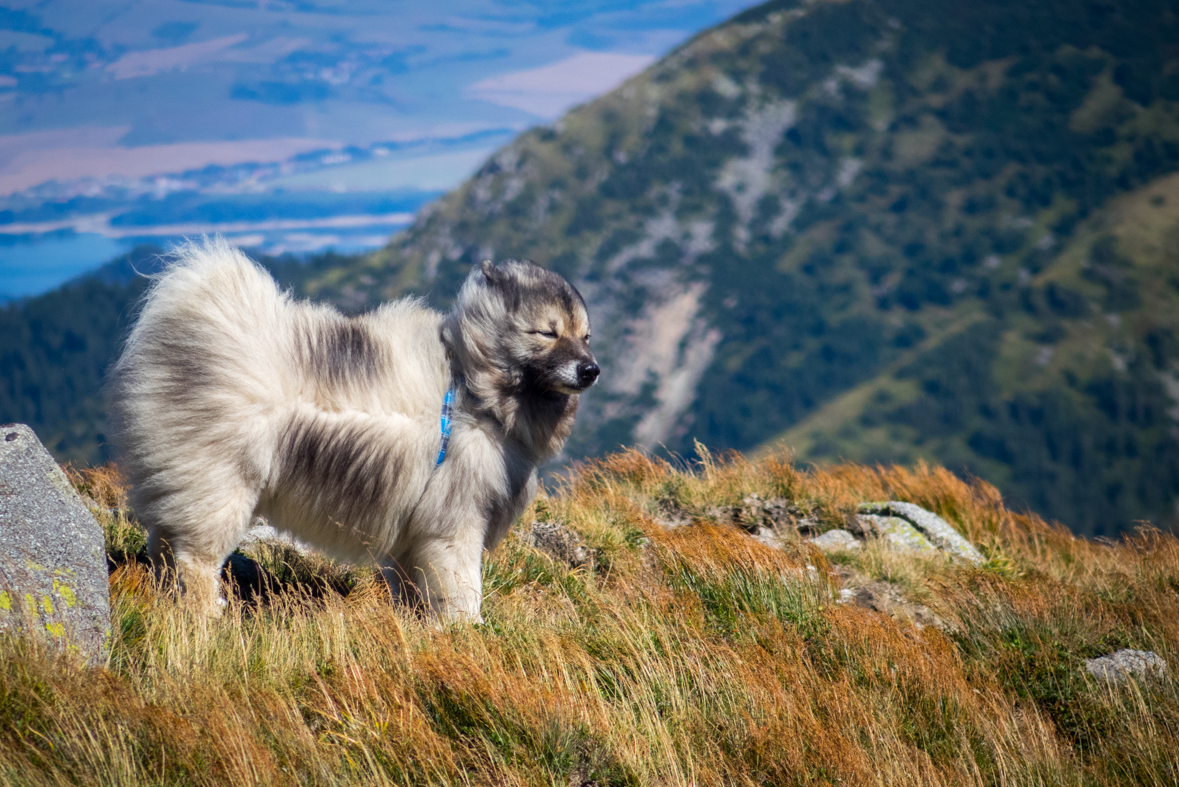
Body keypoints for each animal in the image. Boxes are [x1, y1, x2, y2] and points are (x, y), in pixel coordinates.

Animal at [110, 236, 598, 617]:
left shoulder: (410, 538)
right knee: (195, 560)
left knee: (163, 548)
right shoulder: (454, 528)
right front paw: (468, 633)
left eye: (586, 336)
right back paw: (207, 618)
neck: (474, 393)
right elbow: (463, 593)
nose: (591, 370)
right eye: (547, 333)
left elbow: (413, 594)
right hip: (221, 490)